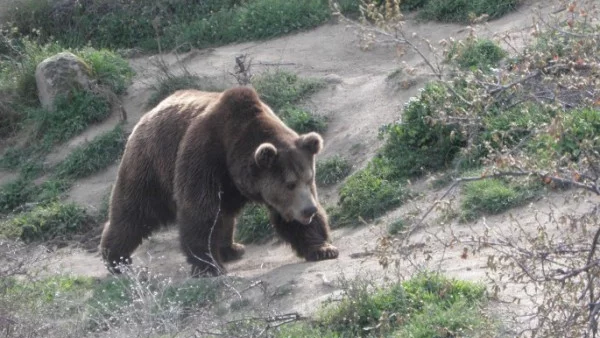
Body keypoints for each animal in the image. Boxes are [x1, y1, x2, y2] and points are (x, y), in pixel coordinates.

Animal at [101, 86, 340, 276]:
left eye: (309, 179)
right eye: (290, 184)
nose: (308, 210)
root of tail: (147, 114)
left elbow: (290, 219)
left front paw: (323, 249)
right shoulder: (204, 157)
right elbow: (199, 211)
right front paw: (209, 265)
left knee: (224, 214)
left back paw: (232, 249)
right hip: (151, 165)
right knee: (134, 211)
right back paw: (116, 259)